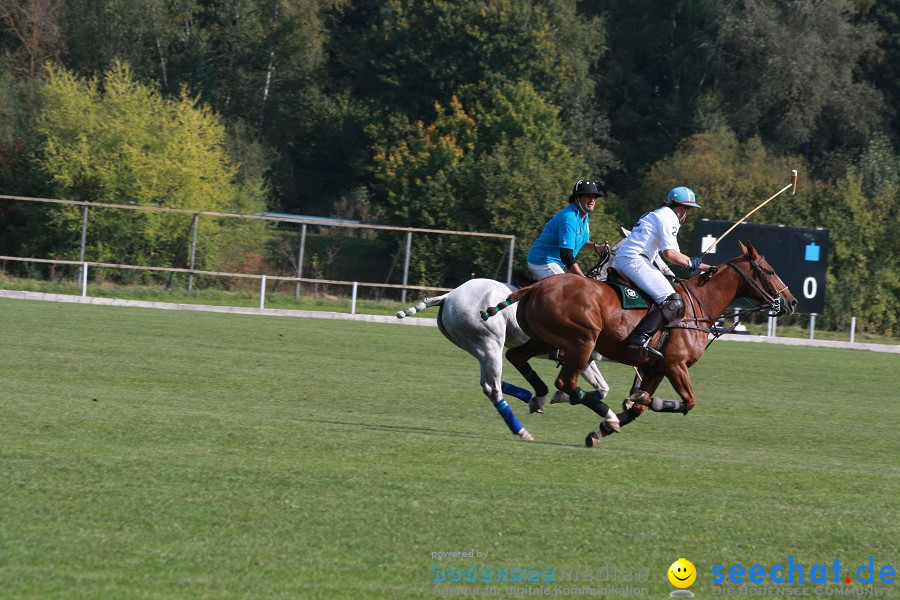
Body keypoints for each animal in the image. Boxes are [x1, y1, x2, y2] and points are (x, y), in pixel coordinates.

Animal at [482, 241, 800, 442]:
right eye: (769, 270)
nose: (792, 302)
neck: (697, 306)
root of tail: (536, 286)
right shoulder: (675, 365)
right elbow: (686, 401)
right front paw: (639, 402)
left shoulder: (656, 368)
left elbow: (637, 409)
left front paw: (599, 433)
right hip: (582, 341)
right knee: (566, 382)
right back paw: (604, 412)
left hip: (545, 339)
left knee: (518, 358)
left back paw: (540, 397)